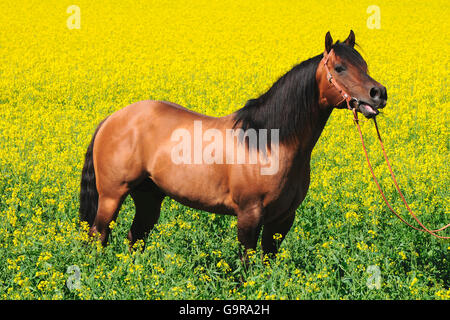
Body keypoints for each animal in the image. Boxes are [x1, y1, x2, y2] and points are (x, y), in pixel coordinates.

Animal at [78, 30, 386, 258]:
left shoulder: (283, 219)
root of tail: (113, 118)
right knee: (98, 236)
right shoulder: (249, 215)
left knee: (135, 238)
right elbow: (245, 263)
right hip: (112, 195)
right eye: (340, 68)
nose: (378, 93)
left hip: (149, 197)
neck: (269, 143)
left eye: (364, 65)